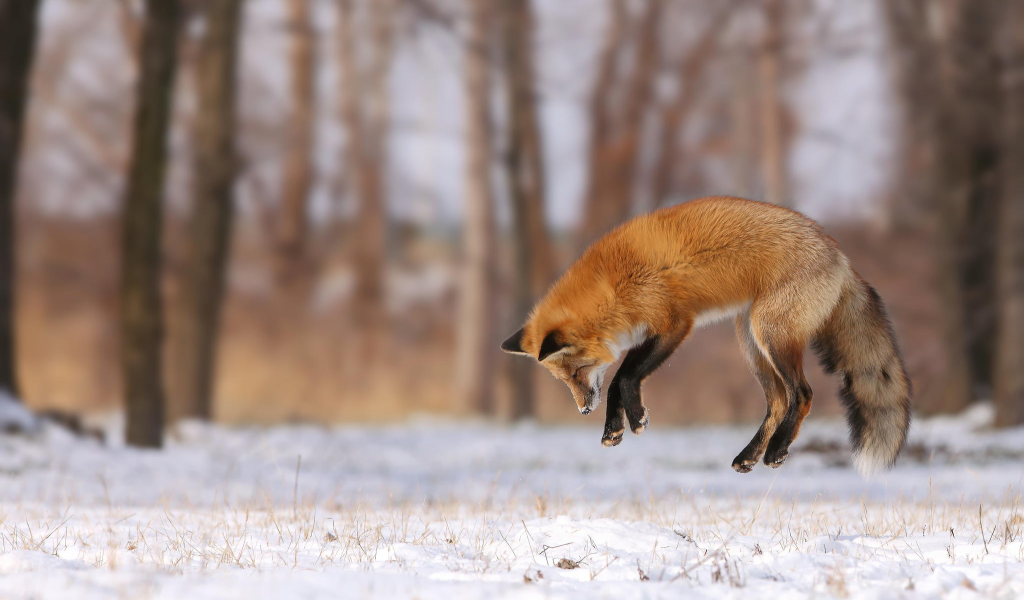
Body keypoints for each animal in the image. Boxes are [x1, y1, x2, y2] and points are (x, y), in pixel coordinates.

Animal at [499, 196, 909, 477]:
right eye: (563, 379)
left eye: (575, 372)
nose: (583, 409)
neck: (613, 284)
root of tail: (841, 255)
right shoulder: (650, 332)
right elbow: (617, 381)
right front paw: (614, 428)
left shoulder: (674, 324)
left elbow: (623, 377)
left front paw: (634, 419)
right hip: (751, 343)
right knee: (778, 402)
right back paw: (749, 456)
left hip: (771, 334)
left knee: (803, 394)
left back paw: (776, 450)